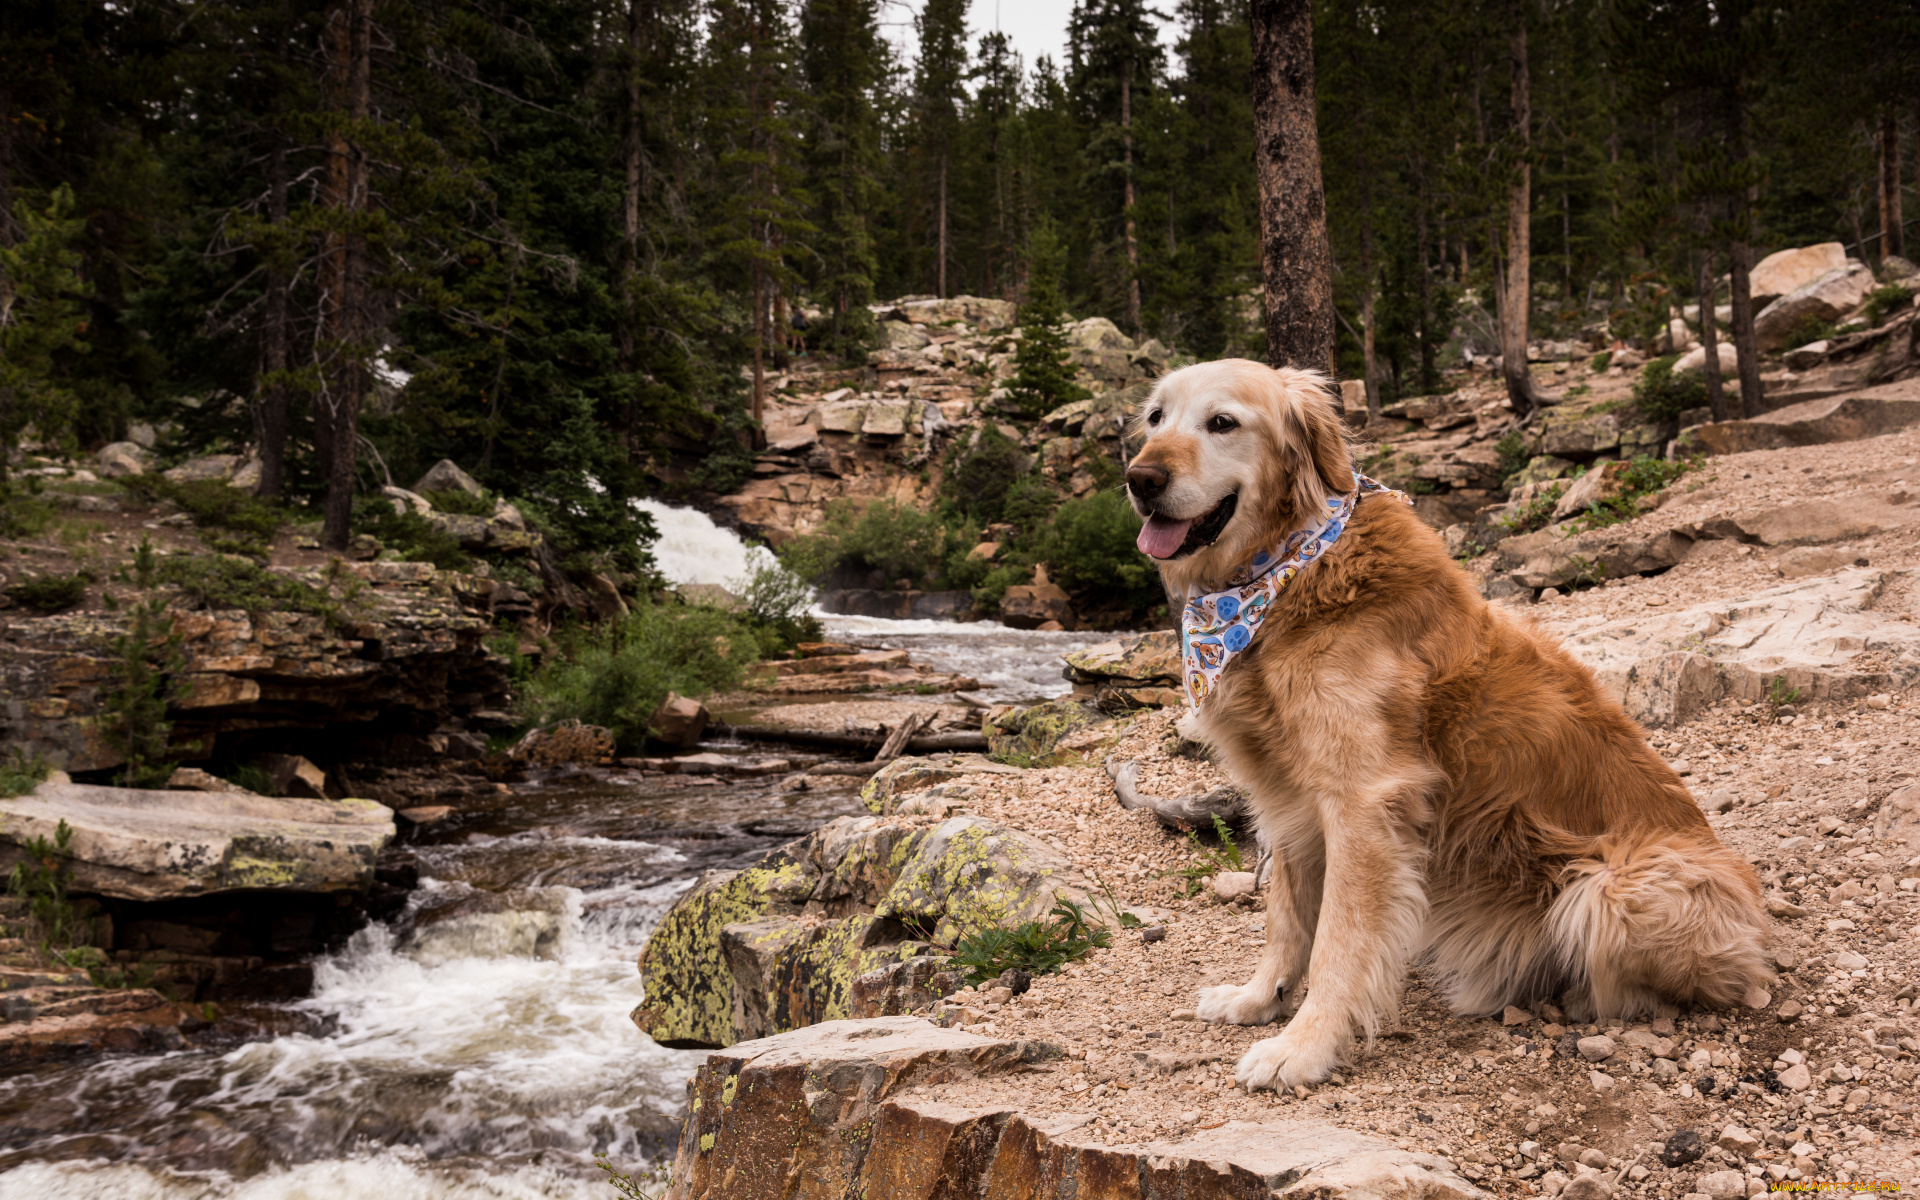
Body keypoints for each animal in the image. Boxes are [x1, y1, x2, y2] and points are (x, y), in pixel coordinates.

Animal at [1121, 353, 1766, 1082]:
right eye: (1155, 419)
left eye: (1223, 422)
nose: (1140, 479)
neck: (1286, 576)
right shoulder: (1283, 795)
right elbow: (1286, 916)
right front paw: (1260, 998)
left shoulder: (1362, 800)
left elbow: (1338, 937)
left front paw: (1304, 1046)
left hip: (1609, 888)